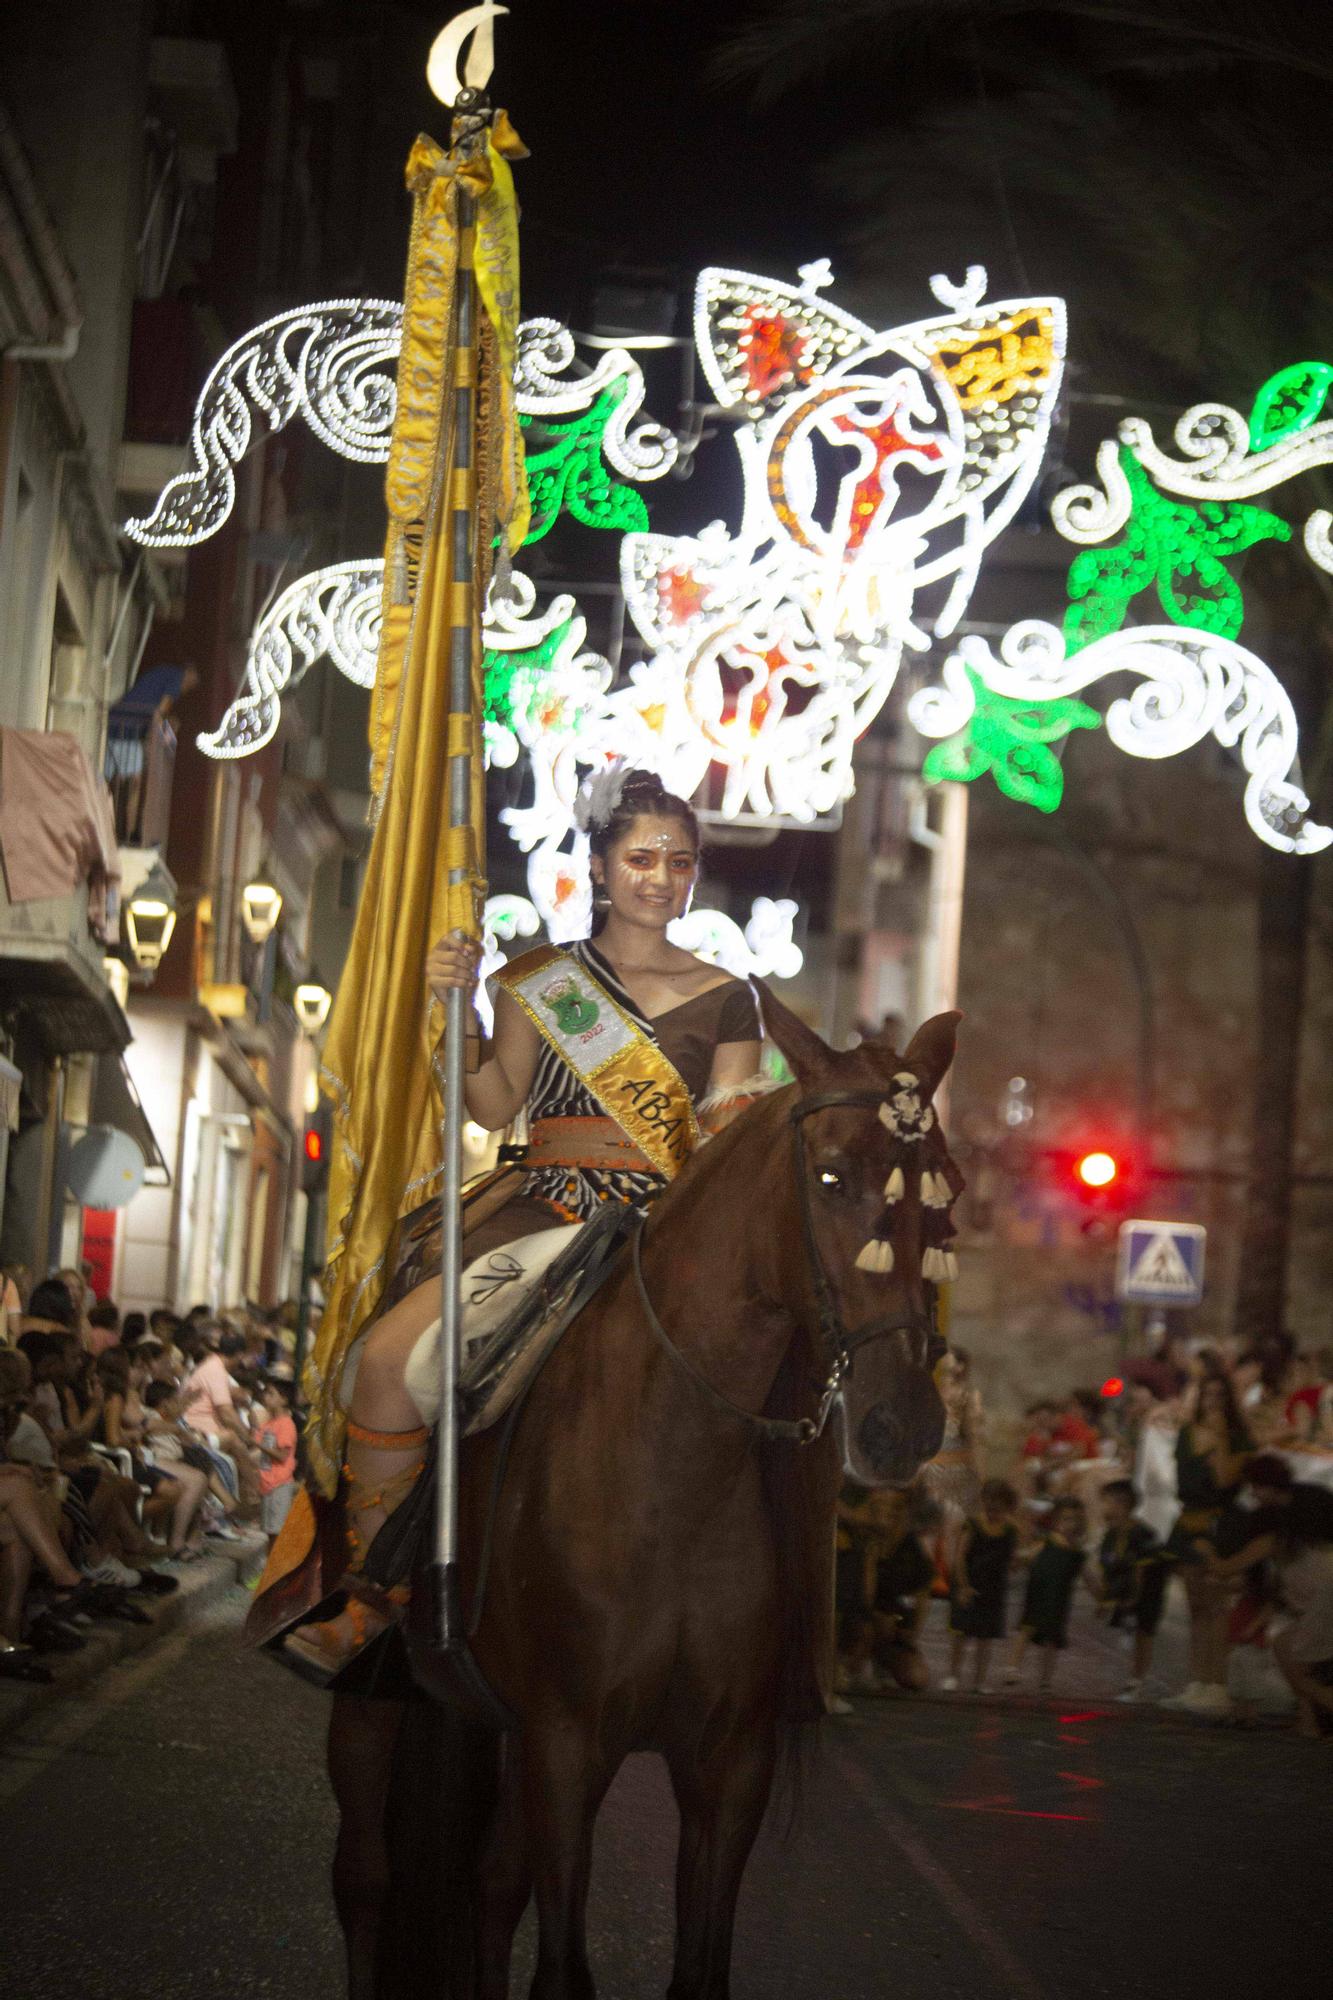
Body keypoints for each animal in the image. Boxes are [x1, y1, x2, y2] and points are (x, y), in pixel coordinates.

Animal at [328, 992, 960, 1992]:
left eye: (948, 1194)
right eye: (828, 1177)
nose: (905, 1423)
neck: (675, 1476)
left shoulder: (728, 1764)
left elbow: (694, 1967)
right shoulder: (566, 1743)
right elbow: (563, 1971)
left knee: (488, 1889)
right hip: (368, 1689)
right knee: (365, 1879)